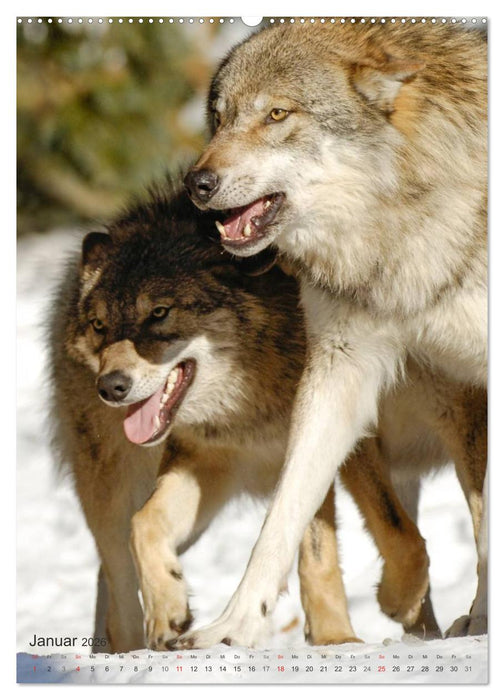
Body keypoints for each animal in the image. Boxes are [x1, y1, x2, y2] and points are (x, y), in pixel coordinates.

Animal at [48, 184, 486, 651]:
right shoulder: (223, 453)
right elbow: (146, 525)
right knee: (115, 564)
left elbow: (387, 536)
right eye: (99, 325)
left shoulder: (427, 426)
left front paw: (358, 628)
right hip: (116, 490)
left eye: (160, 313)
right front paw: (168, 612)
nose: (110, 386)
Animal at [181, 21, 488, 647]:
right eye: (219, 118)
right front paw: (233, 627)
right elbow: (283, 516)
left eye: (277, 114)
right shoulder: (339, 368)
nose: (196, 184)